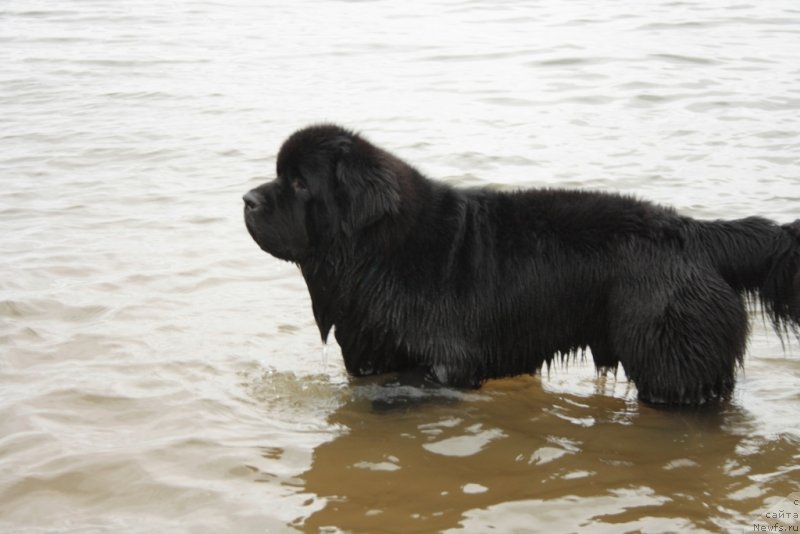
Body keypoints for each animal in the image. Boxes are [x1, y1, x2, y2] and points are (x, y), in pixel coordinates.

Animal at [245, 124, 800, 406]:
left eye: (300, 183)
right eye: (279, 175)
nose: (248, 199)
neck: (375, 255)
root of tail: (694, 231)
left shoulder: (444, 364)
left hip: (671, 357)